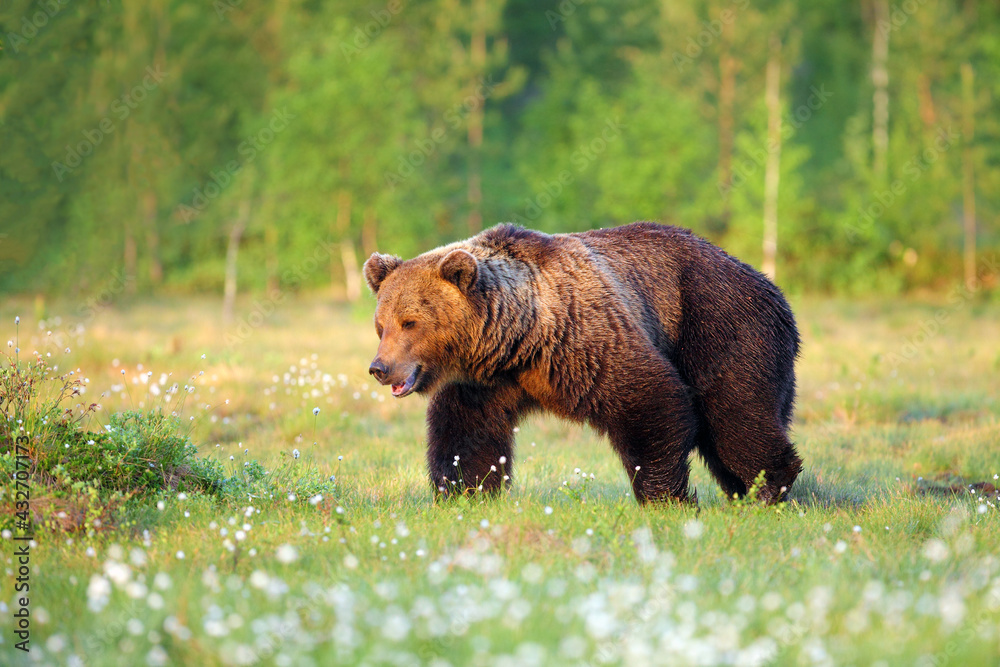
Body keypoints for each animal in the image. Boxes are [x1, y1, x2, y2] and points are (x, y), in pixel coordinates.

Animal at [364, 222, 800, 504]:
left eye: (410, 322)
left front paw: (664, 496)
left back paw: (768, 487)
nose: (380, 368)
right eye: (381, 324)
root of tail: (771, 286)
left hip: (719, 325)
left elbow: (652, 400)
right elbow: (465, 435)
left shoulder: (584, 342)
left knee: (735, 414)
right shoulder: (483, 383)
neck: (518, 338)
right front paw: (464, 493)